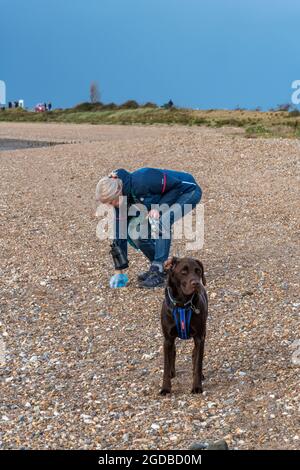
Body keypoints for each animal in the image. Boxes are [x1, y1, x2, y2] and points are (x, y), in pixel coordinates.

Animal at [161, 255, 207, 394]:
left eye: (198, 271)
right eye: (184, 272)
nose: (196, 283)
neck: (182, 305)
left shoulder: (199, 338)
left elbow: (198, 363)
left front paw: (197, 386)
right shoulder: (168, 339)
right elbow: (166, 365)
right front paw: (165, 388)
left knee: (194, 354)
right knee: (173, 352)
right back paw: (172, 372)